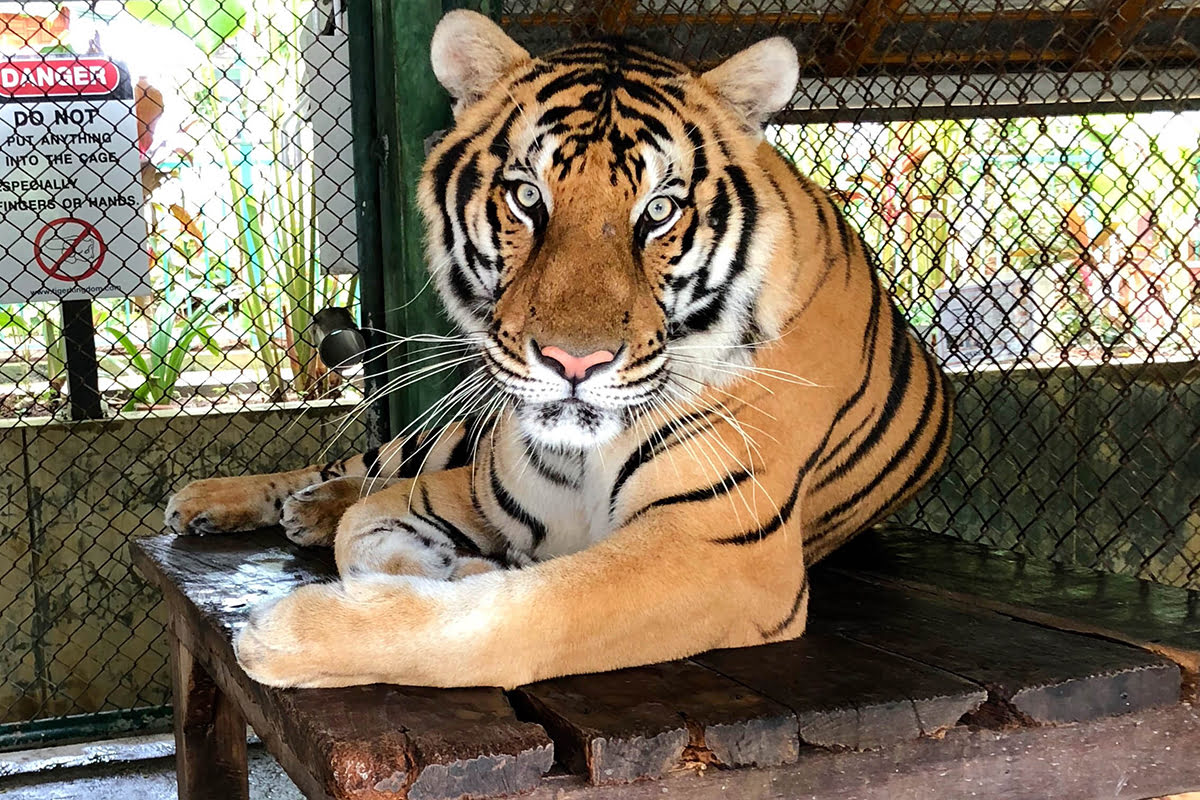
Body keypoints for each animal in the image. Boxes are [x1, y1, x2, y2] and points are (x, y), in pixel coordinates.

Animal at [164, 9, 952, 689]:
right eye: (526, 198)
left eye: (659, 211)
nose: (576, 364)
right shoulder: (476, 485)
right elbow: (367, 525)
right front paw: (440, 564)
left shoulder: (718, 549)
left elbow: (512, 615)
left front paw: (286, 634)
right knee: (357, 464)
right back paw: (221, 499)